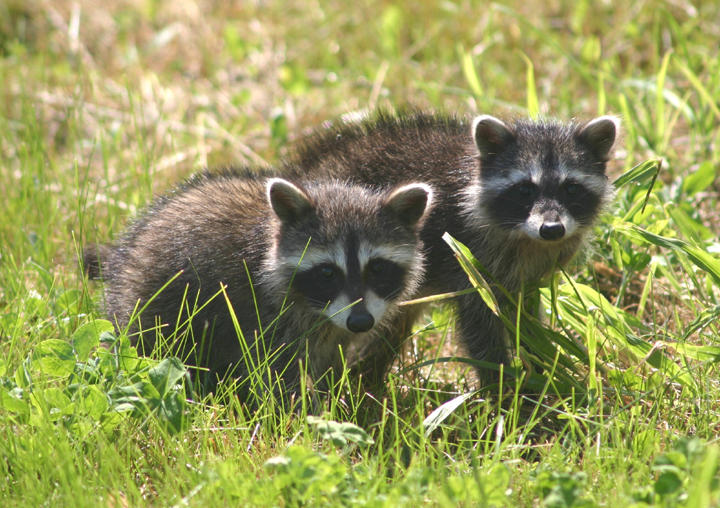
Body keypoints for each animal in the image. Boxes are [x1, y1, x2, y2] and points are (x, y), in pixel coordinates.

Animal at [84, 168, 434, 404]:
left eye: (377, 267)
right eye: (327, 273)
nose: (361, 322)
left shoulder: (336, 326)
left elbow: (330, 359)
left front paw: (337, 395)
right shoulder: (263, 311)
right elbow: (275, 371)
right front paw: (307, 416)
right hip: (149, 305)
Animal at [282, 109, 620, 382]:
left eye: (571, 188)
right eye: (525, 189)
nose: (552, 229)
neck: (527, 238)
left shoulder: (528, 272)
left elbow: (524, 315)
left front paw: (540, 364)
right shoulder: (468, 258)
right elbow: (479, 324)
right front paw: (502, 386)